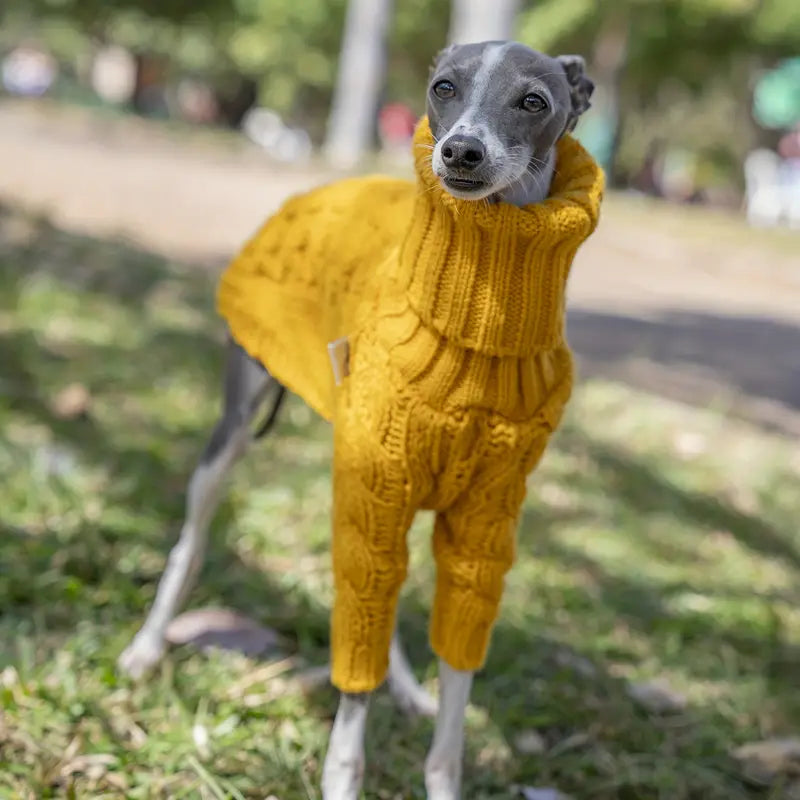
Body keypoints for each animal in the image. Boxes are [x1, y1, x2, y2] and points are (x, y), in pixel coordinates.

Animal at [119, 40, 592, 796]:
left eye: (533, 101)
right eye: (444, 87)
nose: (460, 153)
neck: (480, 329)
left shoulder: (482, 525)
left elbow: (453, 694)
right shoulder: (377, 488)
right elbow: (353, 693)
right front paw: (344, 772)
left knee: (382, 597)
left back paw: (405, 688)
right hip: (241, 437)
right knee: (192, 545)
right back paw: (144, 648)